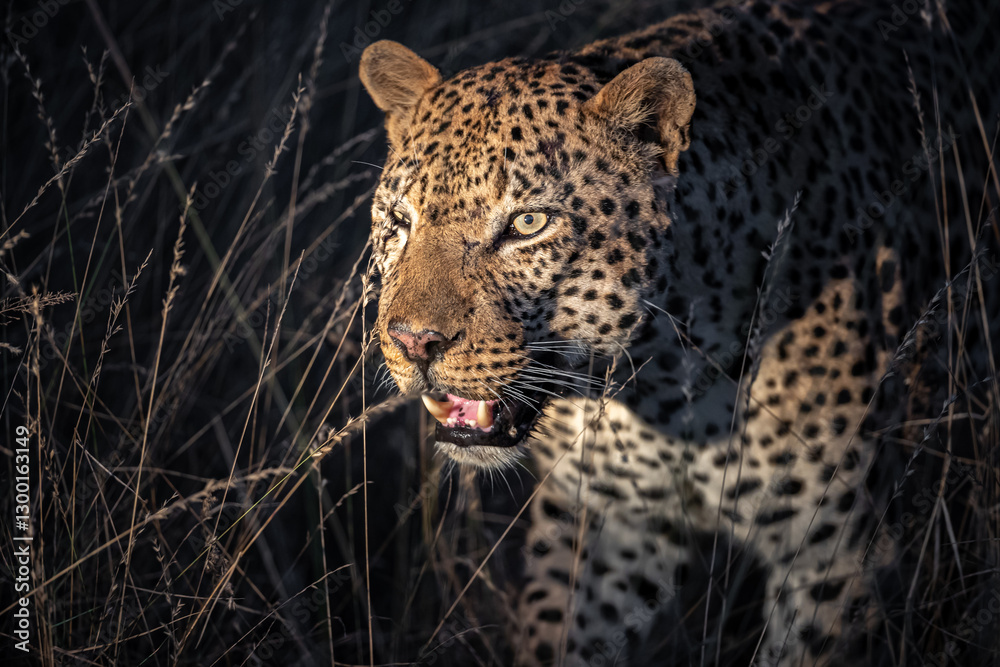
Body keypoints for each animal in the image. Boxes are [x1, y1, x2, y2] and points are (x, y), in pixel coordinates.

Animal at [357, 1, 1000, 665]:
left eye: (528, 224)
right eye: (398, 220)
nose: (413, 342)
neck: (659, 384)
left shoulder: (836, 553)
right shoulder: (604, 527)